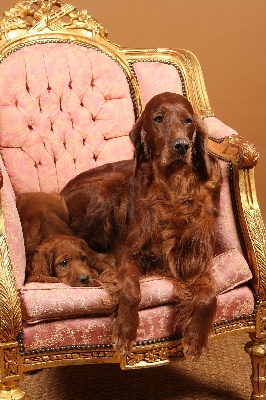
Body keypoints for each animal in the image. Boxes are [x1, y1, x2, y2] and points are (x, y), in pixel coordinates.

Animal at [61, 92, 221, 358]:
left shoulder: (197, 257)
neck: (173, 188)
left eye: (188, 121)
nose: (181, 146)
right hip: (107, 189)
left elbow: (211, 293)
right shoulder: (128, 251)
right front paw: (126, 329)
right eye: (158, 118)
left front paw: (197, 336)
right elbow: (130, 287)